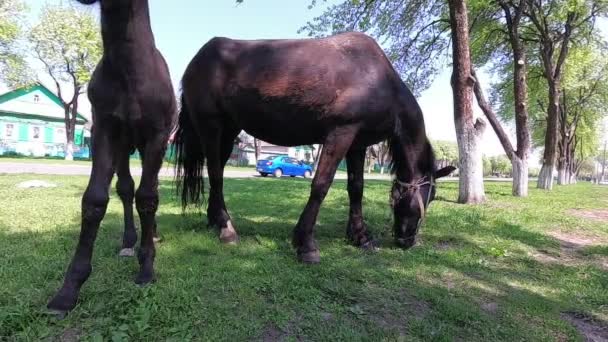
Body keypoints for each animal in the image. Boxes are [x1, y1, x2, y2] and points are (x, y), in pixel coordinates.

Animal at [47, 0, 176, 314]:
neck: (129, 72)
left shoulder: (157, 135)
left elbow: (148, 198)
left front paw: (147, 268)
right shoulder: (106, 130)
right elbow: (95, 200)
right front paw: (68, 290)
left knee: (148, 190)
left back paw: (151, 234)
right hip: (124, 146)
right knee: (126, 188)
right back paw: (130, 240)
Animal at [173, 31, 454, 262]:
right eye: (429, 197)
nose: (407, 241)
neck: (377, 79)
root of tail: (198, 59)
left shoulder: (357, 144)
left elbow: (356, 188)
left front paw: (359, 236)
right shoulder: (340, 134)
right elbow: (321, 185)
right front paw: (305, 243)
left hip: (229, 130)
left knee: (217, 171)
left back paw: (215, 221)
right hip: (211, 126)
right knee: (215, 173)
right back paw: (226, 229)